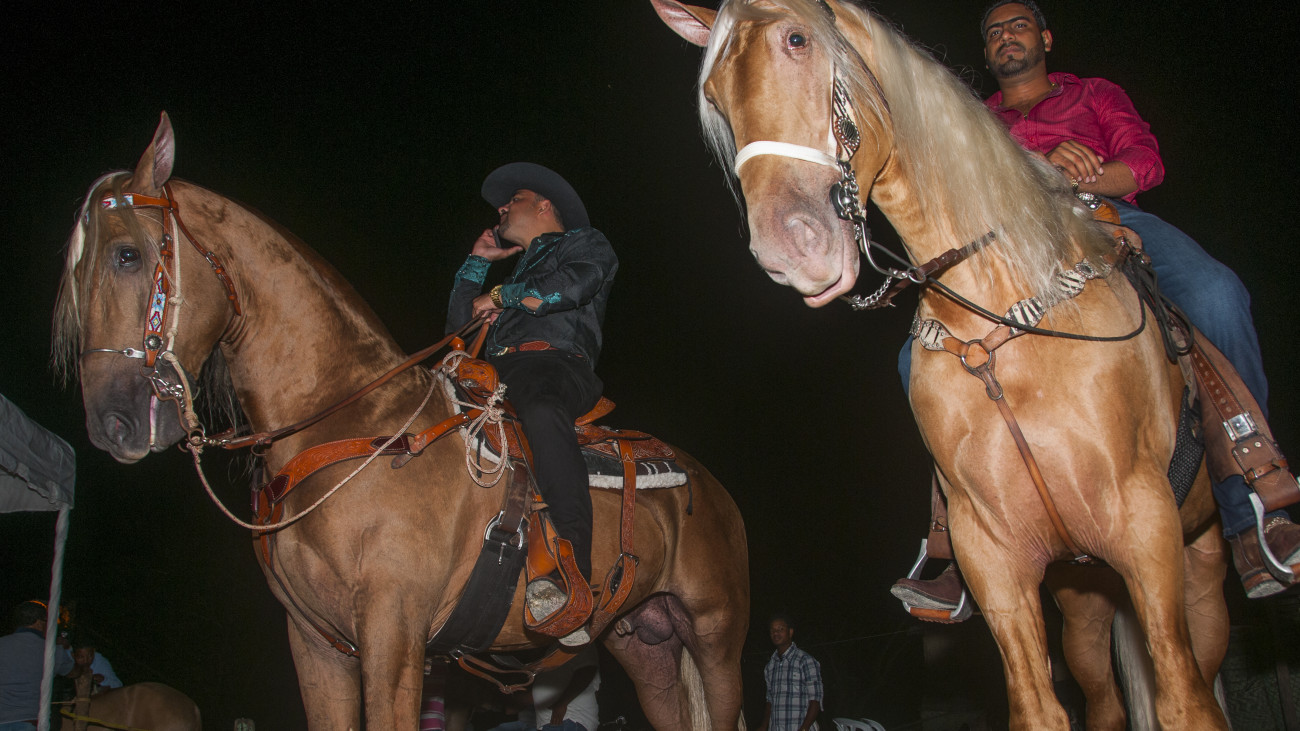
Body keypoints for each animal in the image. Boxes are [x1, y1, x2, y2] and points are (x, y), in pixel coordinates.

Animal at [652, 1, 1230, 728]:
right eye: (714, 94)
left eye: (797, 39)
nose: (788, 247)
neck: (1000, 324)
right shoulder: (992, 555)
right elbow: (1038, 707)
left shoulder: (1145, 527)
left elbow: (1184, 699)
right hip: (1084, 595)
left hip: (1198, 567)